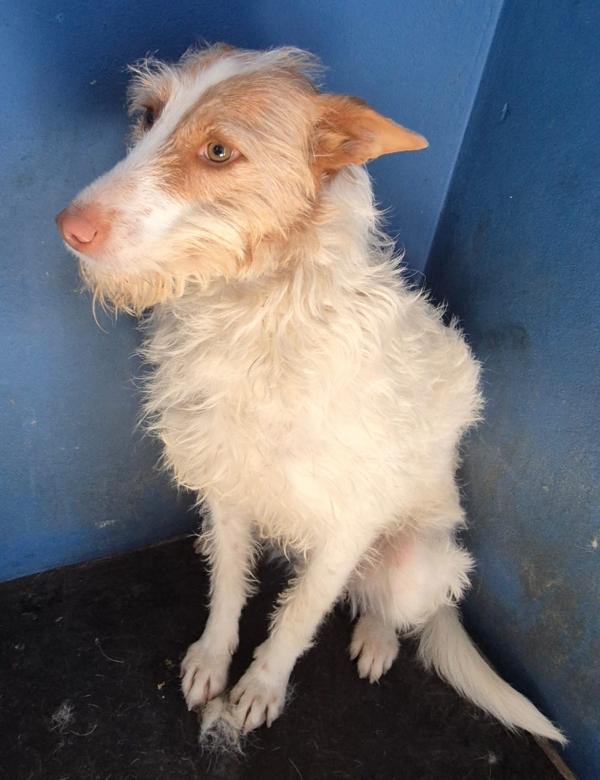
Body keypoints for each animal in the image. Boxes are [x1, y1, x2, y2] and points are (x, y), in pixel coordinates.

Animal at [56, 43, 565, 746]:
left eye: (219, 151)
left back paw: (378, 639)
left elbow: (298, 616)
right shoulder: (228, 490)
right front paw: (213, 660)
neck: (257, 319)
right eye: (149, 116)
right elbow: (228, 587)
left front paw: (260, 688)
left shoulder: (349, 522)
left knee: (391, 607)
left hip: (414, 563)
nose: (67, 227)